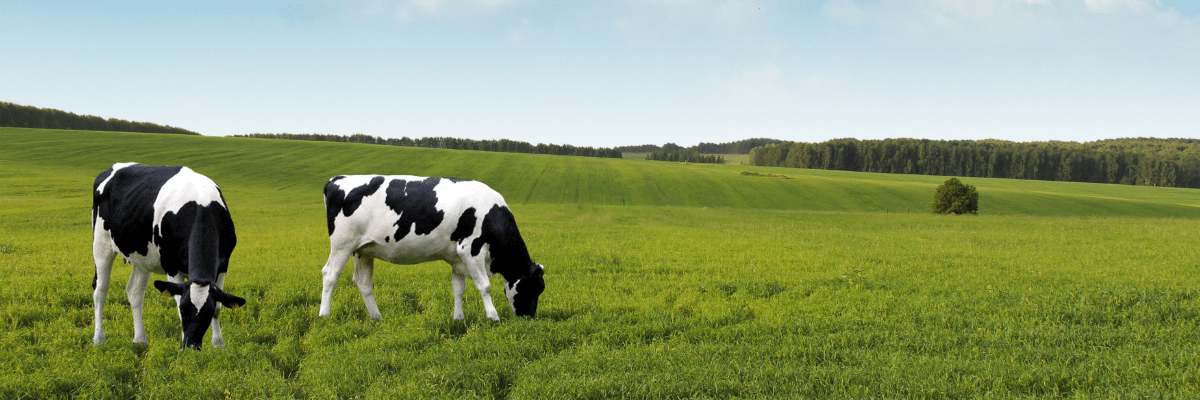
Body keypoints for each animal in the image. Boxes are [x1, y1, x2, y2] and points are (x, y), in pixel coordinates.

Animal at [93, 162, 246, 348]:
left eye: (208, 312)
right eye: (184, 309)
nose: (191, 345)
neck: (201, 204)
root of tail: (114, 167)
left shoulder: (223, 265)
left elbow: (219, 306)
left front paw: (218, 344)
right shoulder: (171, 265)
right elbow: (178, 301)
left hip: (142, 257)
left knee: (135, 292)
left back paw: (140, 340)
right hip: (101, 245)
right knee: (100, 290)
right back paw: (99, 338)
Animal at [319, 174, 544, 321]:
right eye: (535, 288)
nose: (530, 317)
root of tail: (337, 179)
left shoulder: (457, 258)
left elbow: (458, 289)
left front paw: (458, 318)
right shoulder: (470, 249)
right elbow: (485, 286)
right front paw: (493, 317)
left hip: (363, 250)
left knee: (363, 282)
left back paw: (377, 317)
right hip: (342, 244)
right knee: (330, 274)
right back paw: (324, 315)